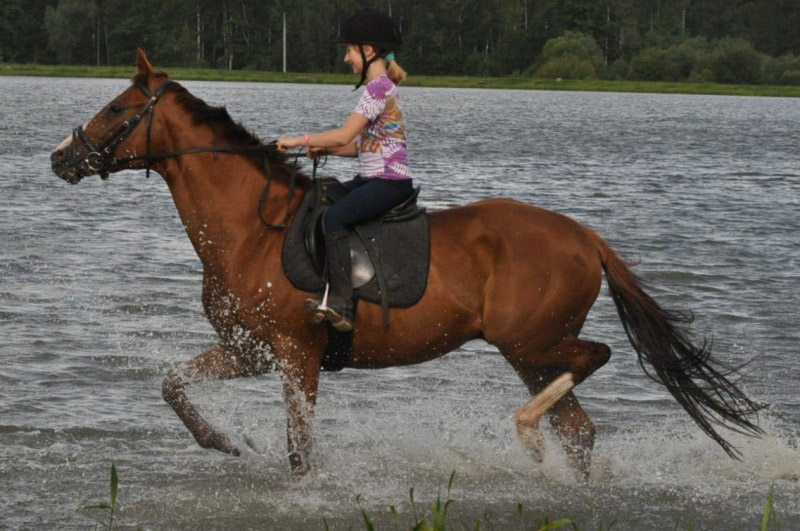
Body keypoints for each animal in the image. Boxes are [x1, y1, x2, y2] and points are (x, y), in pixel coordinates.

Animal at [48, 50, 764, 478]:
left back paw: (526, 431)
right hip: (530, 352)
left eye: (115, 109)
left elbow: (301, 450)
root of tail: (586, 236)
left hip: (530, 339)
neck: (250, 230)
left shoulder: (298, 353)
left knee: (595, 362)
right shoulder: (250, 348)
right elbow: (173, 384)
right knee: (581, 431)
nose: (61, 157)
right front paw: (225, 443)